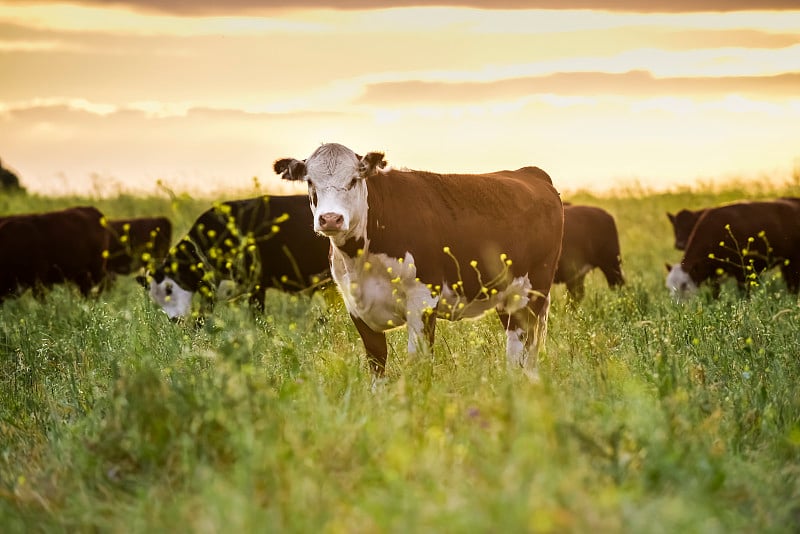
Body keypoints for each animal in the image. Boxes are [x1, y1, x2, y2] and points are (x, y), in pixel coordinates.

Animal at [141, 197, 332, 322]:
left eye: (169, 289)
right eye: (155, 298)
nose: (174, 319)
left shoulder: (255, 283)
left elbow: (256, 315)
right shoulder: (211, 286)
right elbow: (203, 316)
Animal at [276, 142, 564, 376]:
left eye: (354, 180)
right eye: (310, 182)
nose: (330, 219)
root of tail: (529, 172)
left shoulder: (423, 297)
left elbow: (418, 363)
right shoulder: (356, 304)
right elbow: (376, 363)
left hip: (532, 291)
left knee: (522, 346)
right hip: (507, 295)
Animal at [664, 200, 800, 302]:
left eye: (684, 285)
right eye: (669, 287)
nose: (678, 306)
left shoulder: (743, 272)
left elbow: (745, 293)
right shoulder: (713, 276)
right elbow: (716, 294)